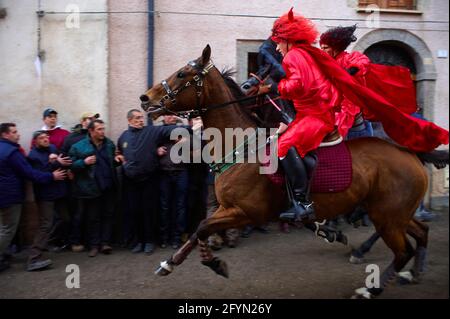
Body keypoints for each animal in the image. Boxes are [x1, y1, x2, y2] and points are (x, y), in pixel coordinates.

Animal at [141, 45, 442, 300]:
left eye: (182, 73)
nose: (146, 98)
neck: (241, 146)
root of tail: (407, 152)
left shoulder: (247, 212)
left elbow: (203, 226)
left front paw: (213, 263)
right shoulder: (226, 207)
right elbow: (199, 229)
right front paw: (171, 262)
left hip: (387, 216)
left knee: (403, 250)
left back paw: (371, 287)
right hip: (393, 213)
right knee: (421, 232)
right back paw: (411, 272)